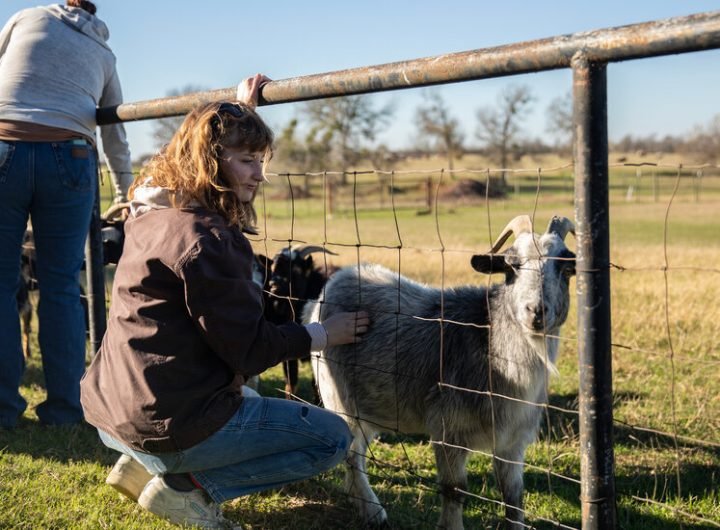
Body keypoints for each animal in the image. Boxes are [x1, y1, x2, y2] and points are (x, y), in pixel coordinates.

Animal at [306, 214, 576, 528]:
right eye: (512, 265)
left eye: (566, 266)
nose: (536, 311)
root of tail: (337, 281)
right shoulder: (448, 428)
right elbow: (454, 489)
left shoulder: (512, 442)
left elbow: (513, 498)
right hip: (340, 398)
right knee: (353, 455)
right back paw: (374, 511)